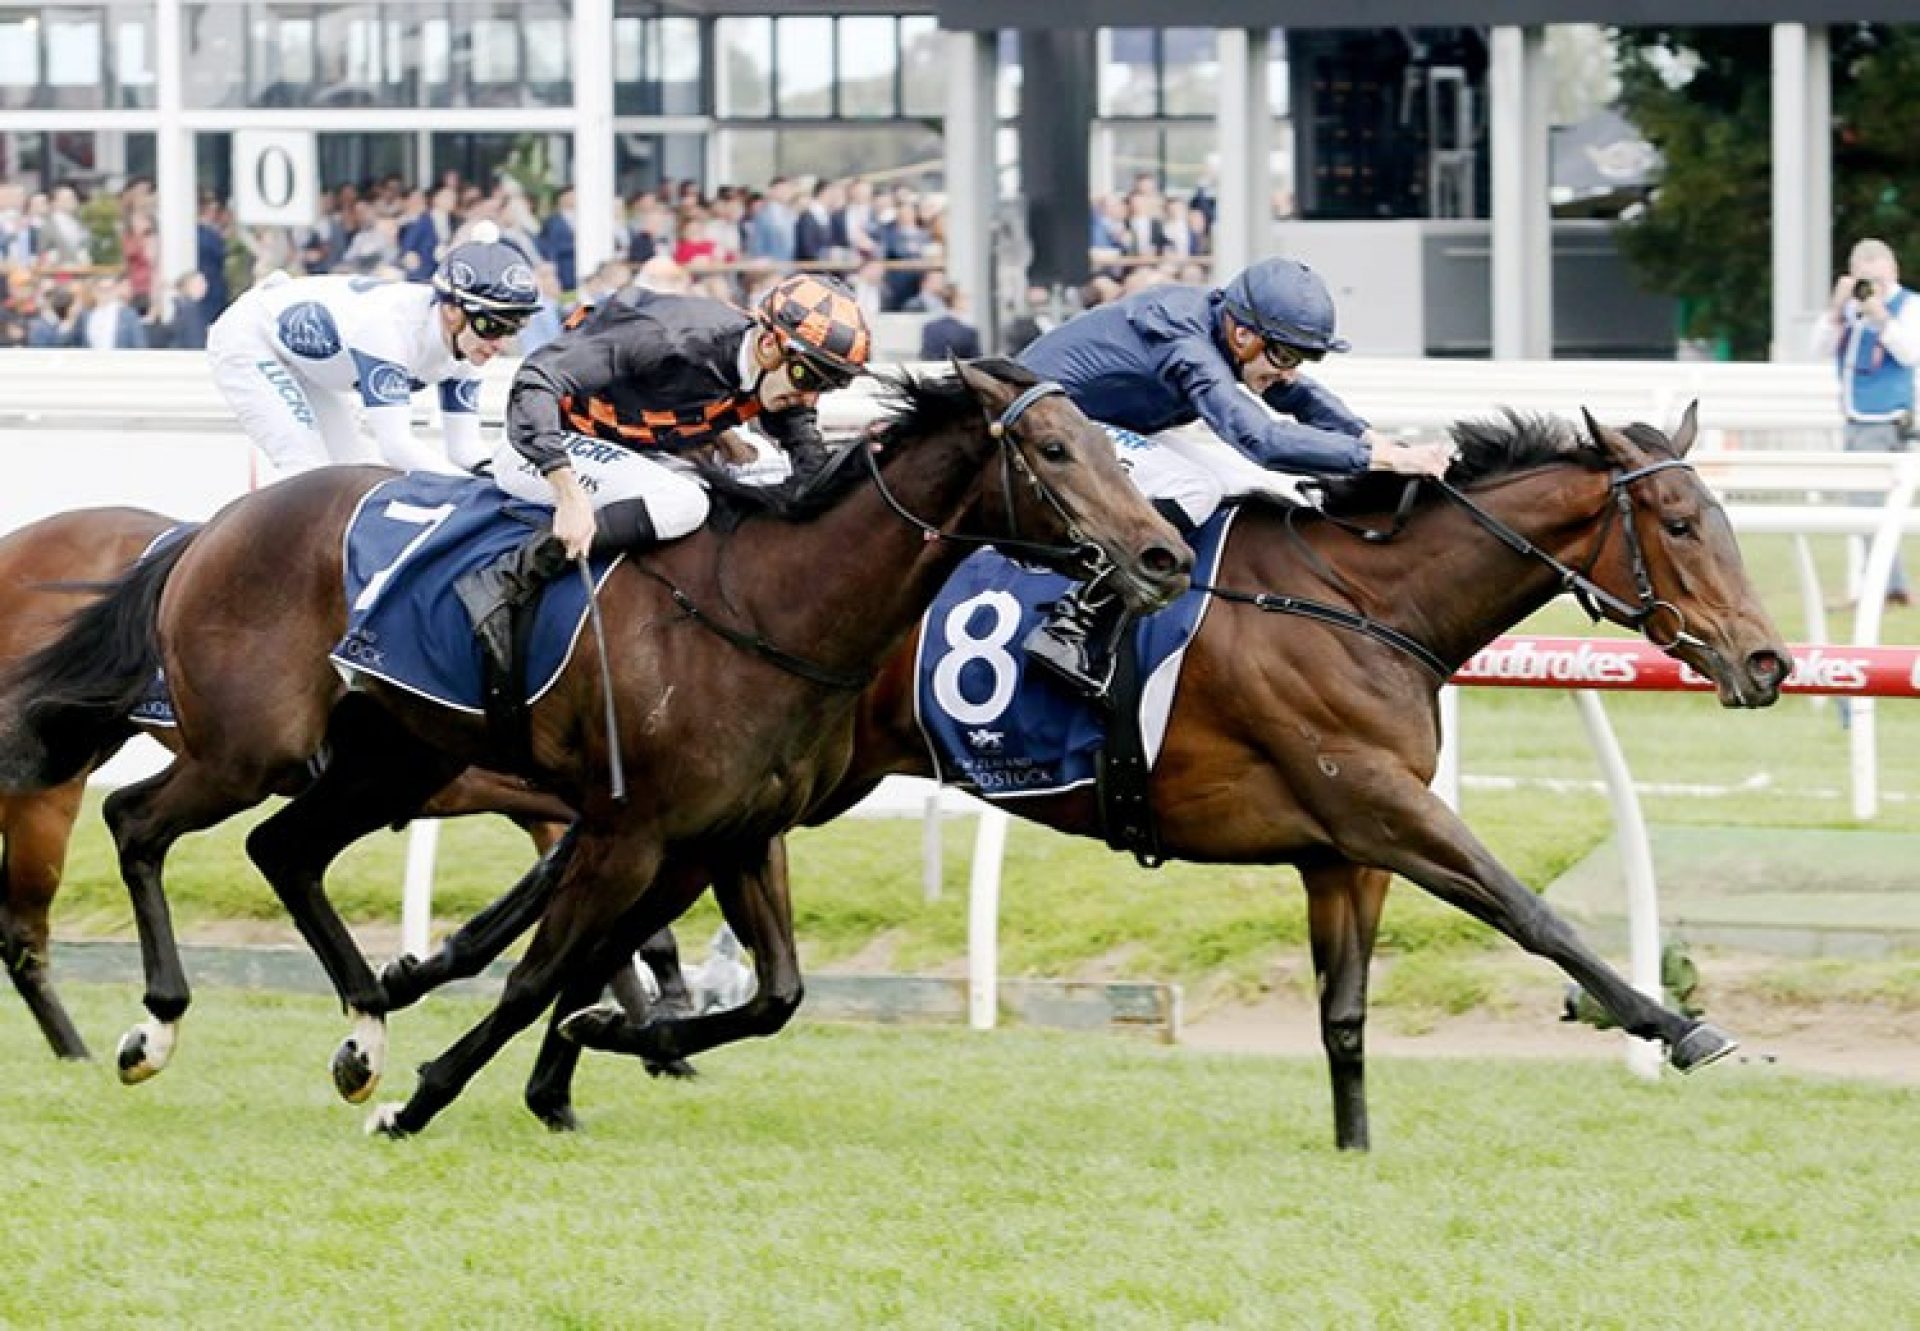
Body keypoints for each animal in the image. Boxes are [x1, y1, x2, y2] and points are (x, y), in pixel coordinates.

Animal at [0, 363, 1190, 1129]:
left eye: (1107, 443)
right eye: (1053, 450)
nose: (1165, 554)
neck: (768, 610)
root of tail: (208, 527)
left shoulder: (737, 832)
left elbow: (775, 993)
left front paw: (621, 1038)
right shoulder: (628, 829)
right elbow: (540, 973)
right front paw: (427, 1098)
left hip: (392, 756)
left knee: (281, 850)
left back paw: (363, 1029)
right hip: (250, 744)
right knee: (137, 821)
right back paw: (154, 1028)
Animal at [460, 399, 1781, 1144]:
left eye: (1722, 518)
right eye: (1677, 523)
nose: (1766, 659)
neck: (1366, 602)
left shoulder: (1343, 852)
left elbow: (1346, 1016)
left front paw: (1356, 1153)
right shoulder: (1380, 806)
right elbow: (1530, 910)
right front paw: (1682, 1027)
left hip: (771, 786)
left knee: (594, 887)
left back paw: (547, 1031)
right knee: (593, 880)